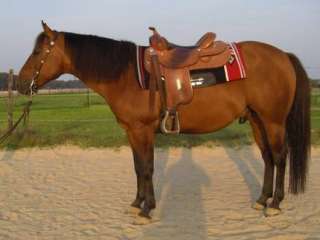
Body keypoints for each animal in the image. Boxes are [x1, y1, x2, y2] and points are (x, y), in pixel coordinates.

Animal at [18, 22, 310, 219]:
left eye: (38, 52)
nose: (20, 84)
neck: (127, 75)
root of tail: (283, 55)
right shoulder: (131, 131)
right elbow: (138, 167)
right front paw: (137, 204)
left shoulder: (142, 130)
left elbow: (147, 167)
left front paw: (147, 209)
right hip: (257, 120)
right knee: (268, 158)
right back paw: (262, 200)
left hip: (273, 121)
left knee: (280, 157)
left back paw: (275, 204)